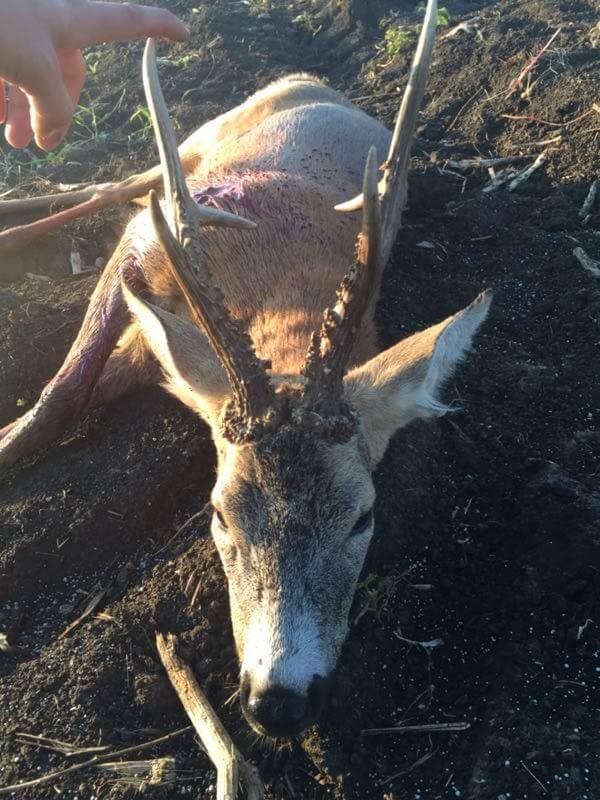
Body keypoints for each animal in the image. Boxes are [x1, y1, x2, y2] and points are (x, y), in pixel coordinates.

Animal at [0, 0, 491, 738]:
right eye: (219, 513)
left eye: (363, 517)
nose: (279, 701)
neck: (281, 289)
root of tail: (310, 81)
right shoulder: (139, 251)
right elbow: (64, 390)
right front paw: (11, 441)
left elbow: (95, 381)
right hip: (193, 149)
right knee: (121, 185)